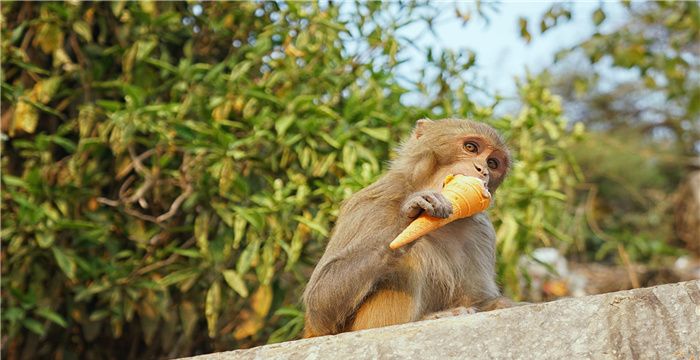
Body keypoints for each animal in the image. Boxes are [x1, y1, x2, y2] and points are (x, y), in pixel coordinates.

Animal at [300, 118, 516, 338]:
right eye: (471, 147)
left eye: (493, 163)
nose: (483, 170)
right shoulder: (369, 205)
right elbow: (320, 304)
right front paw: (408, 220)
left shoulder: (482, 232)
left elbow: (480, 299)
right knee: (409, 261)